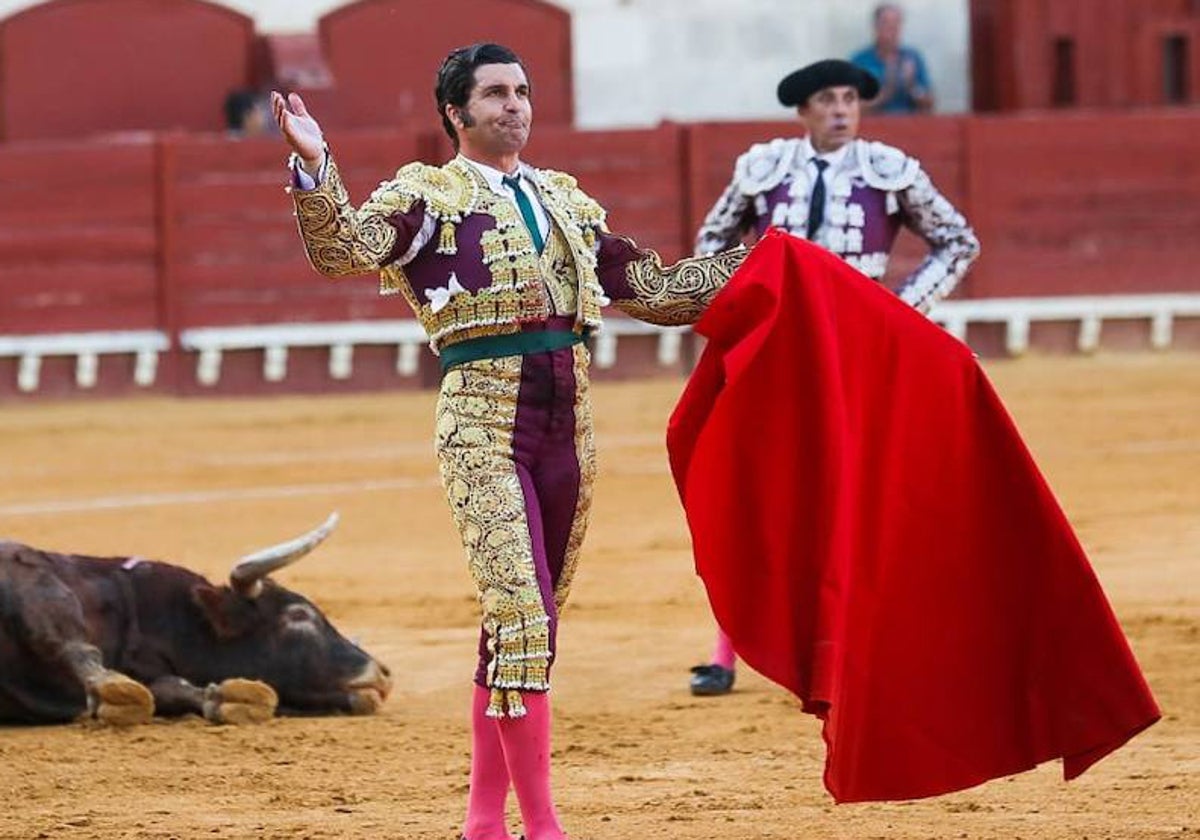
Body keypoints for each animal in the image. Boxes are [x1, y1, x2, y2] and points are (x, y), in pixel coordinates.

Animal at [0, 516, 391, 724]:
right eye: (298, 615)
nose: (382, 674)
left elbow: (168, 687)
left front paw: (231, 697)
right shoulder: (32, 579)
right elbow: (66, 640)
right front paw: (116, 690)